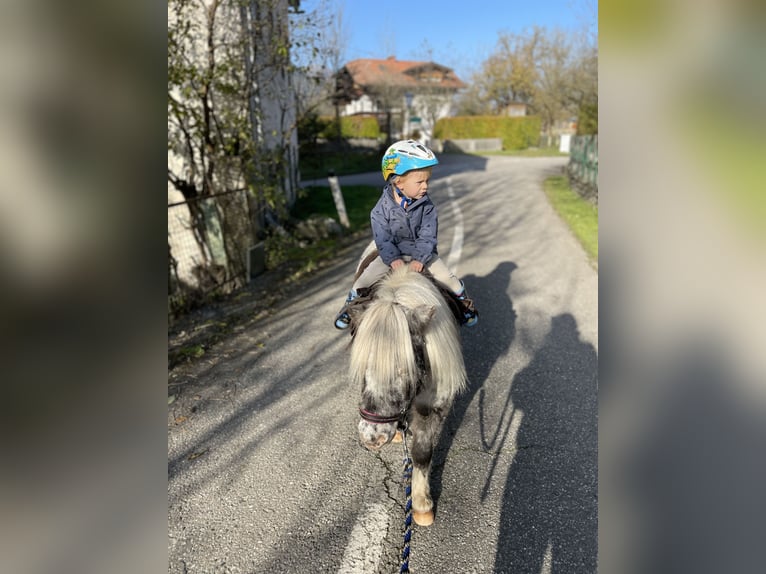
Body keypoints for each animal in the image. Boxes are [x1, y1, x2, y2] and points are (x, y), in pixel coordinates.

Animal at [344, 247, 467, 526]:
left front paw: (421, 505)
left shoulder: (433, 403)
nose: (372, 439)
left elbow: (421, 451)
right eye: (362, 366)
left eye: (405, 368)